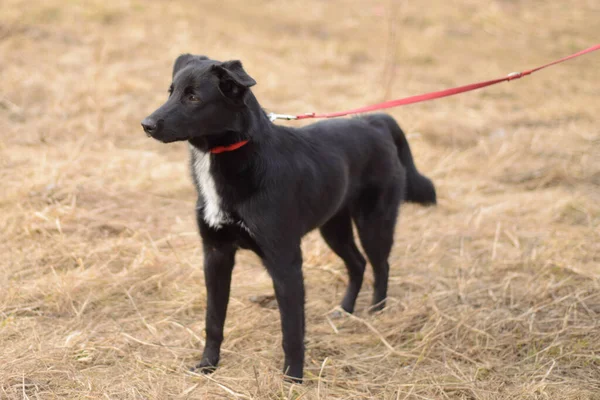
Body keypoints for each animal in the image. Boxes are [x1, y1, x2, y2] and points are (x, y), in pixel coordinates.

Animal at [142, 54, 436, 382]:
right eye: (171, 92)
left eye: (193, 98)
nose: (147, 125)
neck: (233, 157)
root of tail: (376, 121)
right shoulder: (216, 254)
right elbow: (213, 319)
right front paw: (208, 364)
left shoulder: (284, 261)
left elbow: (292, 329)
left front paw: (293, 378)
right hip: (333, 226)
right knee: (357, 264)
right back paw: (344, 311)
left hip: (374, 221)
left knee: (380, 265)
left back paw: (376, 314)